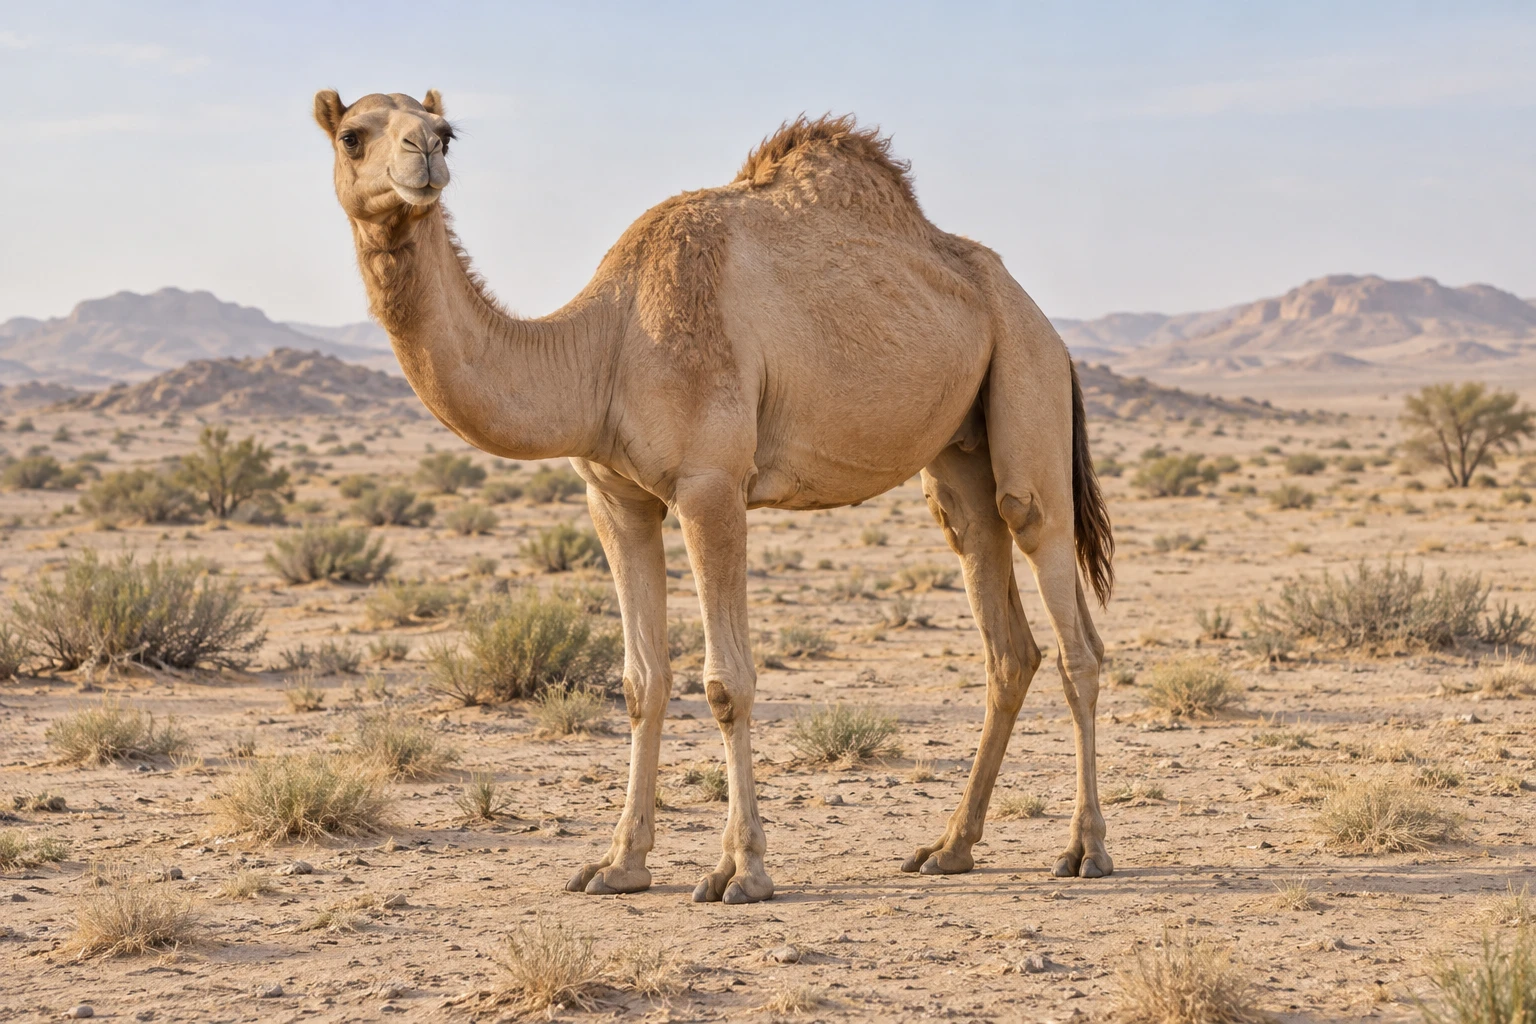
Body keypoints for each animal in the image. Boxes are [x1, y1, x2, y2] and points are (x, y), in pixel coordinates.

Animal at [314, 90, 1115, 904]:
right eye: (352, 136)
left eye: (444, 133)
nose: (421, 157)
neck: (603, 346)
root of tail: (1050, 329)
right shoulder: (615, 499)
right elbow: (641, 682)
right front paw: (619, 864)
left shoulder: (711, 486)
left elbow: (727, 683)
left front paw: (741, 870)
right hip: (957, 456)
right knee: (1003, 630)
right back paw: (950, 848)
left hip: (1026, 379)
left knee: (1068, 621)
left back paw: (1085, 850)